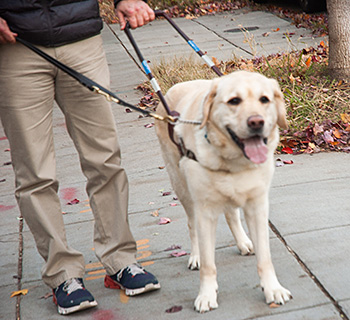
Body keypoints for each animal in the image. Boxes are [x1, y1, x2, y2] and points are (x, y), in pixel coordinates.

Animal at [154, 70, 292, 312]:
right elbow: (209, 265)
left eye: (264, 99)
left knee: (231, 215)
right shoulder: (205, 211)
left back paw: (244, 242)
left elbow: (265, 259)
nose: (256, 122)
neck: (235, 162)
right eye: (234, 101)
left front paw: (272, 288)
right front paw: (206, 295)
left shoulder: (257, 206)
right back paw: (196, 255)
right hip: (181, 187)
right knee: (192, 225)